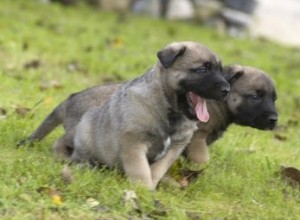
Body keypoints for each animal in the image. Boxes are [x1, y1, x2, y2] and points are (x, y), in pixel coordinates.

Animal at [21, 41, 230, 189]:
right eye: (202, 70)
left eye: (221, 70)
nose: (227, 90)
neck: (168, 110)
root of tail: (72, 97)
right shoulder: (134, 144)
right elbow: (141, 171)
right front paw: (144, 192)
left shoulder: (173, 149)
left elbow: (155, 171)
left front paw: (151, 189)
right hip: (84, 136)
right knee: (68, 148)